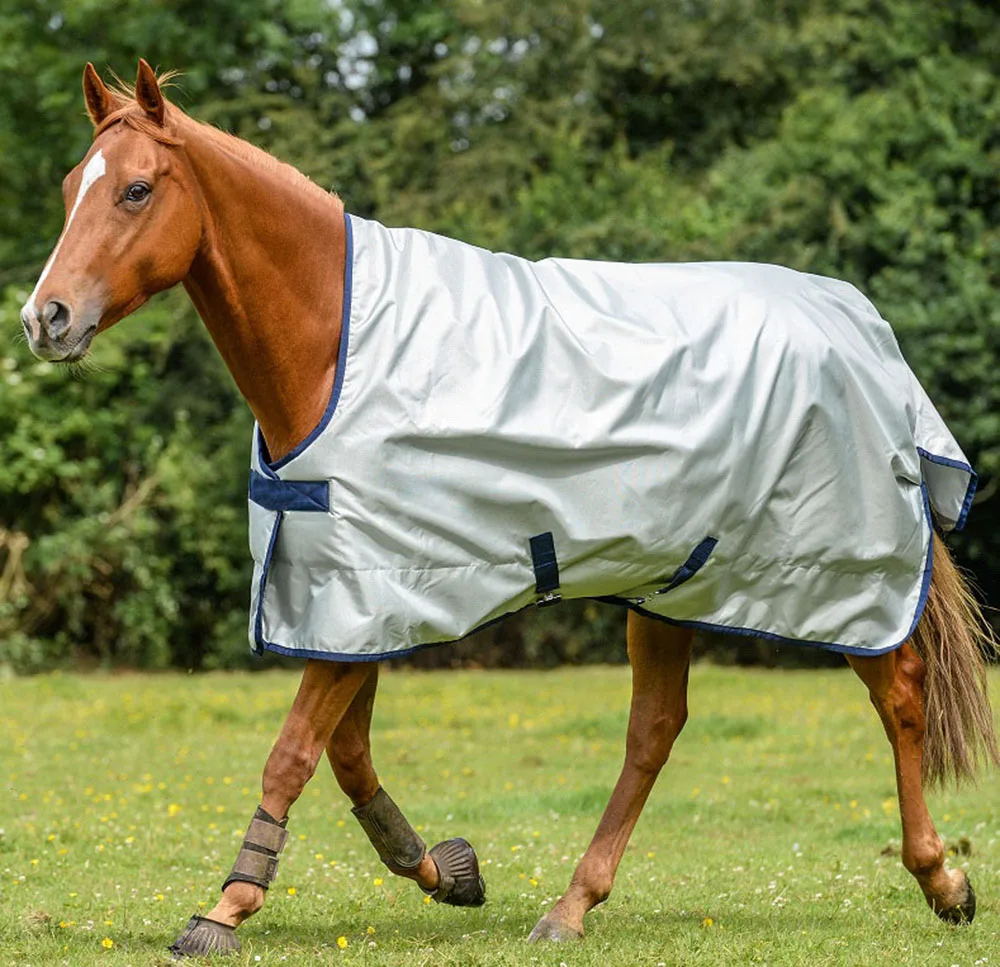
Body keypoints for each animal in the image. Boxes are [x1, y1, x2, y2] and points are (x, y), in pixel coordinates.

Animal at [20, 60, 998, 957]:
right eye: (70, 188)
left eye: (137, 189)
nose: (45, 318)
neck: (336, 340)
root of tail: (860, 326)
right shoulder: (353, 597)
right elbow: (347, 753)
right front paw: (445, 870)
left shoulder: (360, 600)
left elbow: (294, 752)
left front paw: (226, 906)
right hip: (672, 584)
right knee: (654, 731)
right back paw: (571, 905)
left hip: (839, 575)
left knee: (898, 693)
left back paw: (941, 878)